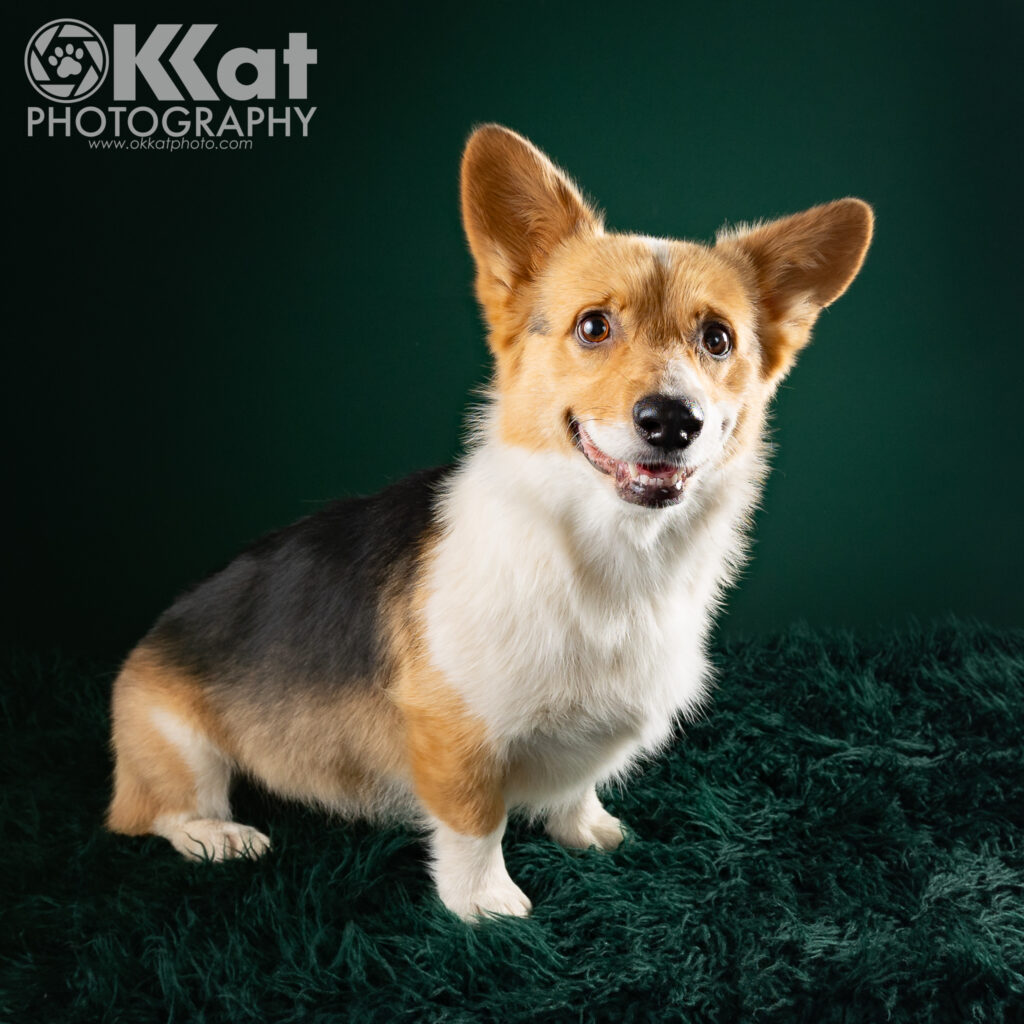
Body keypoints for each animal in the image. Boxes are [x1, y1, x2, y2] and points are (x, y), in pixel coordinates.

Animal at [105, 123, 872, 917]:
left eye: (717, 339)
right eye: (593, 326)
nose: (672, 421)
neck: (610, 557)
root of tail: (151, 640)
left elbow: (575, 785)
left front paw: (584, 828)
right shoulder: (454, 734)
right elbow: (476, 820)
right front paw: (487, 905)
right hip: (176, 742)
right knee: (152, 814)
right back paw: (219, 836)